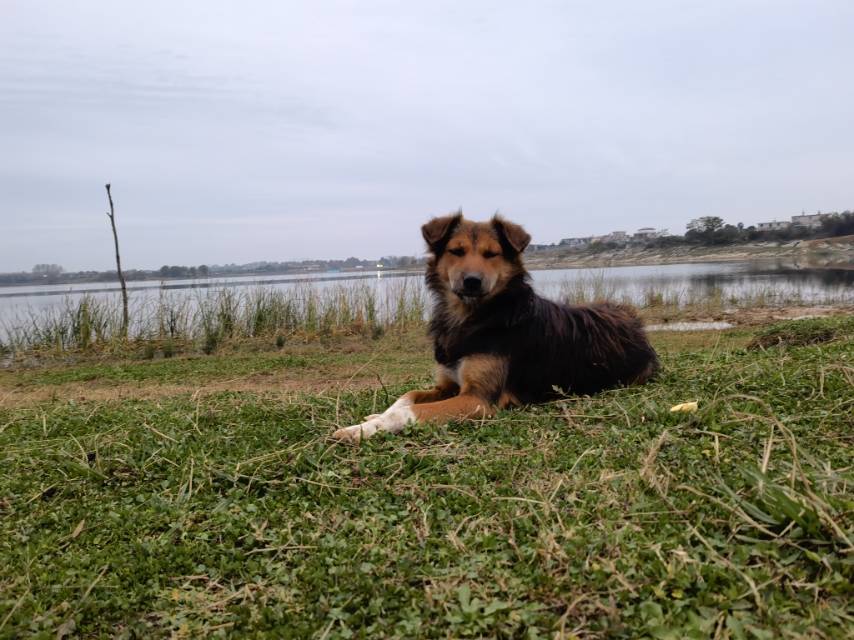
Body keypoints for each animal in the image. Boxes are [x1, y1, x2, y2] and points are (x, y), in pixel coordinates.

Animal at [332, 212, 659, 442]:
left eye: (492, 254)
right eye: (457, 251)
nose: (472, 281)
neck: (474, 318)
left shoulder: (478, 400)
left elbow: (411, 410)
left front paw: (364, 428)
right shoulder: (446, 385)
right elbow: (406, 396)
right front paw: (372, 418)